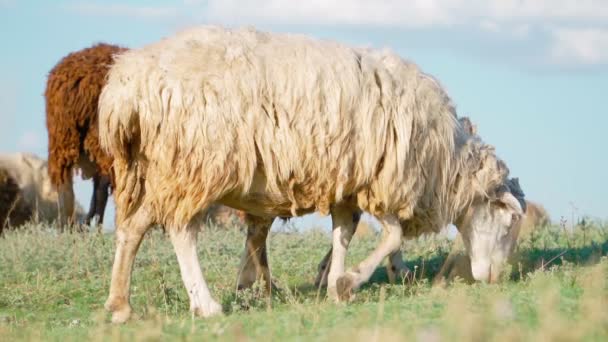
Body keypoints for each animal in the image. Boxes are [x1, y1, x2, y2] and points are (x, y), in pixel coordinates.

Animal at [97, 25, 524, 322]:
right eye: (508, 225)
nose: (494, 280)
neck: (445, 162)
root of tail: (125, 90)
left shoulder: (349, 183)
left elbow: (346, 232)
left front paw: (335, 281)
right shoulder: (381, 180)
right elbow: (393, 235)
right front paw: (349, 280)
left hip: (154, 168)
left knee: (132, 228)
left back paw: (120, 305)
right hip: (196, 162)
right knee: (181, 231)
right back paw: (205, 304)